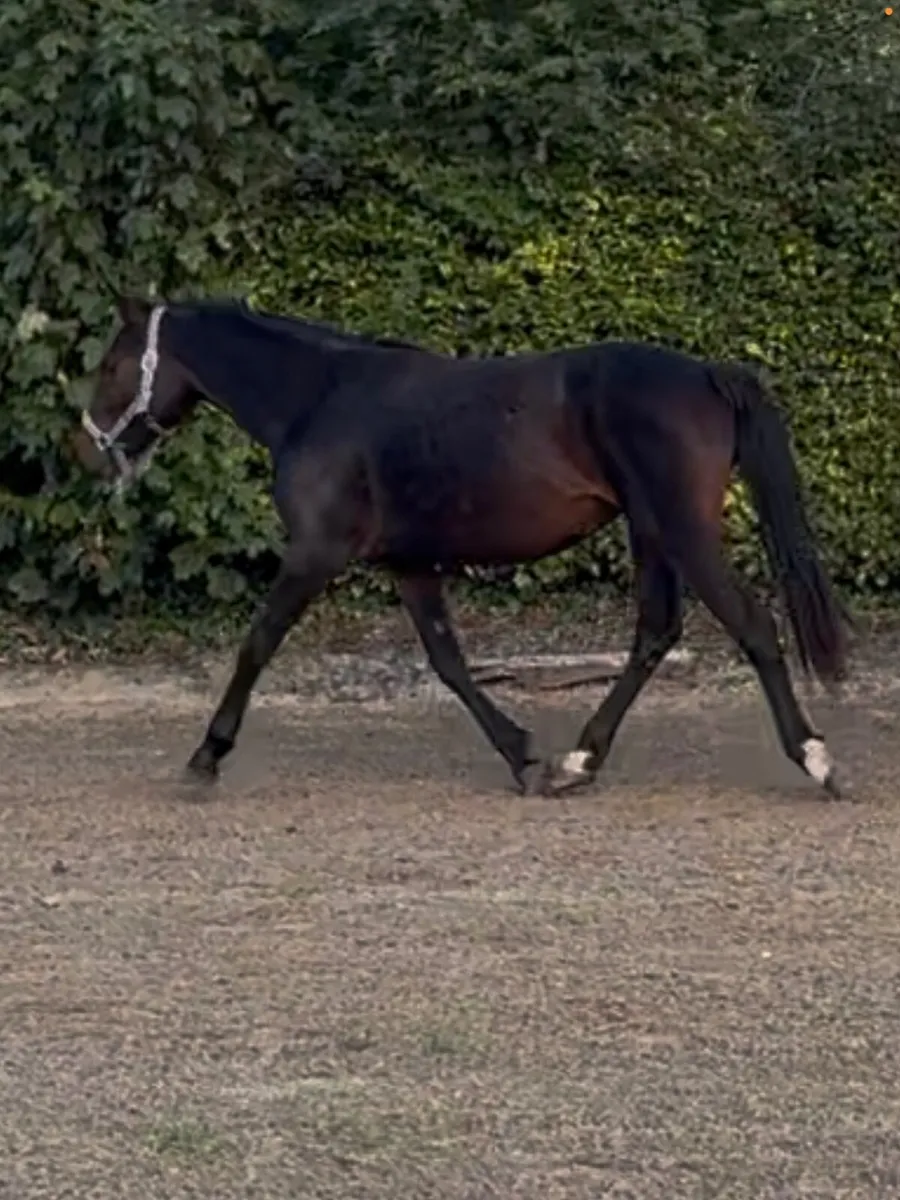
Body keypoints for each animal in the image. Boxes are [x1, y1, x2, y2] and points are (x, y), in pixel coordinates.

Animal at [73, 294, 851, 798]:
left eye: (112, 366)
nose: (88, 452)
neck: (318, 400)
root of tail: (707, 375)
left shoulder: (315, 552)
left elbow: (257, 643)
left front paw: (206, 756)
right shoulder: (411, 565)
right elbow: (449, 662)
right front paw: (523, 756)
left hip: (682, 531)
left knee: (751, 625)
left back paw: (816, 759)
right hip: (652, 532)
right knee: (656, 633)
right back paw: (577, 762)